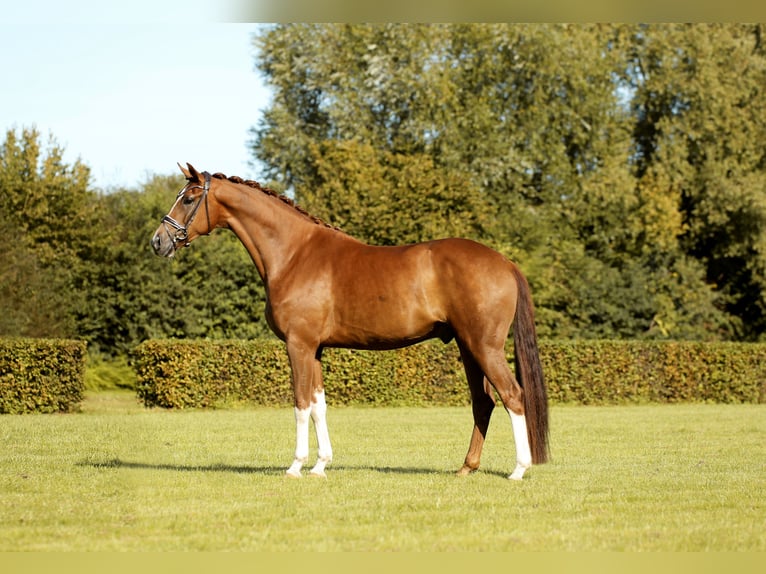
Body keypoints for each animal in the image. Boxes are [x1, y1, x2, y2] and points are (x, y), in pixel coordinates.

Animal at [153, 165, 548, 482]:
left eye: (189, 199)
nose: (158, 241)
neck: (294, 253)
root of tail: (504, 262)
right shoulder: (315, 350)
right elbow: (318, 405)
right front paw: (320, 465)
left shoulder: (298, 345)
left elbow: (300, 404)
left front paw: (296, 466)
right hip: (468, 348)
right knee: (484, 403)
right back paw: (467, 467)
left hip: (484, 347)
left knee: (513, 396)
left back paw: (518, 469)